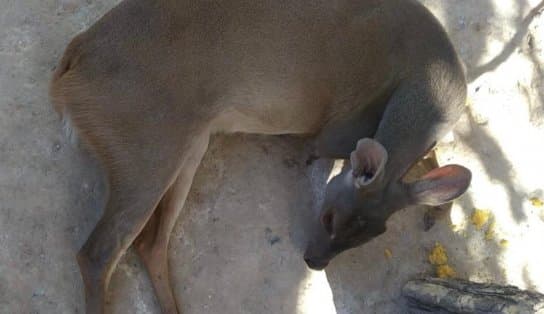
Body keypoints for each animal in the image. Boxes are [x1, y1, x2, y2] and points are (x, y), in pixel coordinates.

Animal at [47, 1, 472, 312]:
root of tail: (73, 59)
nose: (314, 262)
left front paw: (438, 211)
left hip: (187, 143)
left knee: (148, 244)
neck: (428, 81)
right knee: (97, 253)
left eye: (373, 235)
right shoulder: (332, 133)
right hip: (147, 148)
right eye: (328, 216)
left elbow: (430, 161)